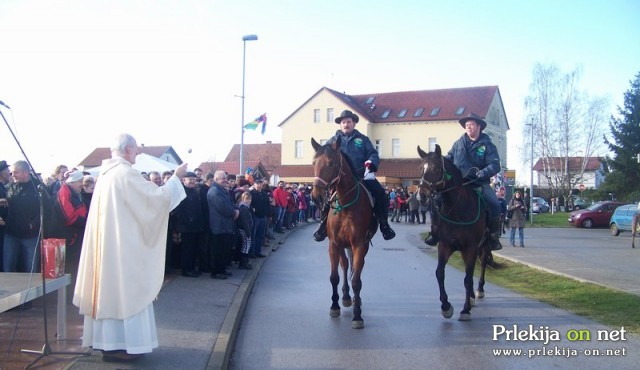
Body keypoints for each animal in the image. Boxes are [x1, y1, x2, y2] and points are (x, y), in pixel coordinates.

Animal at [308, 137, 376, 328]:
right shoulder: (334, 244)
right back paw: (345, 297)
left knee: (355, 268)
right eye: (314, 163)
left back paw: (354, 300)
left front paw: (357, 315)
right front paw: (335, 306)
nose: (316, 196)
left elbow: (356, 281)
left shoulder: (359, 244)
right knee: (345, 265)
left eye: (331, 163)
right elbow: (334, 277)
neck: (346, 205)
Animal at [418, 143, 492, 320]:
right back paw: (470, 296)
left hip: (484, 246)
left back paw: (478, 291)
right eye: (421, 169)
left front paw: (465, 310)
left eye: (437, 169)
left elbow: (467, 279)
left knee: (482, 264)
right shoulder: (445, 245)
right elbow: (440, 273)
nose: (421, 196)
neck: (458, 209)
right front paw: (446, 306)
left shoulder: (470, 247)